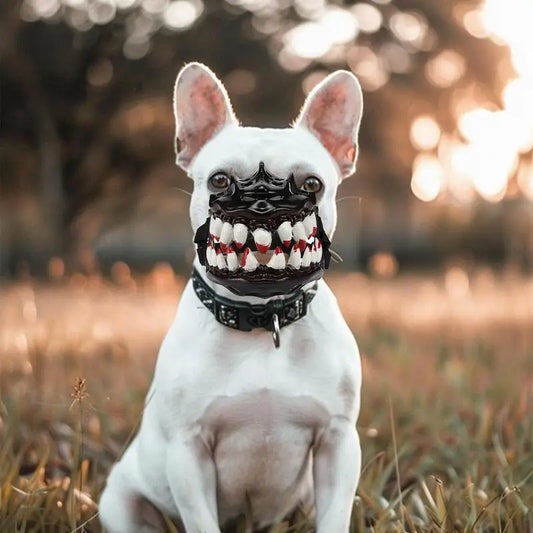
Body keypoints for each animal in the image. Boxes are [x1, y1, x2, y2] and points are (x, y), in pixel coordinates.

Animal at [98, 63, 366, 532]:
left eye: (312, 183)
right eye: (219, 180)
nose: (262, 206)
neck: (262, 319)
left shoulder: (339, 443)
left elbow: (335, 517)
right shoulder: (188, 453)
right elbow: (202, 520)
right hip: (121, 501)